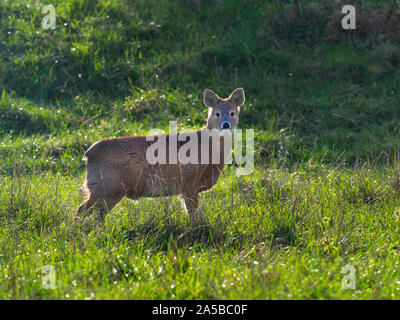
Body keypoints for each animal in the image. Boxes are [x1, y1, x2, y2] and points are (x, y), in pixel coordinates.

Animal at [74, 89, 244, 221]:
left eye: (233, 113)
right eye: (217, 113)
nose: (226, 125)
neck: (208, 150)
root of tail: (88, 154)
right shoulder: (188, 183)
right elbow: (192, 214)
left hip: (109, 191)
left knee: (98, 215)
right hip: (104, 187)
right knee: (81, 210)